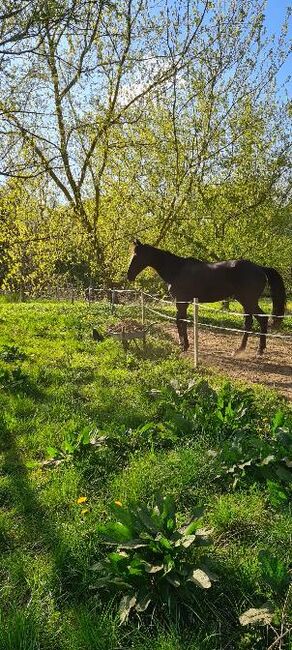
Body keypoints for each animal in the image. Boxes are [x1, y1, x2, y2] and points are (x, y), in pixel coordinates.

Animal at [126, 239, 286, 354]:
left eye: (136, 256)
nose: (129, 276)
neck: (176, 270)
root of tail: (260, 268)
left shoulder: (181, 301)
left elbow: (180, 321)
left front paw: (184, 345)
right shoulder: (183, 302)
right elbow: (181, 321)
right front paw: (183, 344)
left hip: (248, 301)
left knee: (258, 320)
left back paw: (251, 350)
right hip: (246, 302)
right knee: (253, 321)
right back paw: (249, 349)